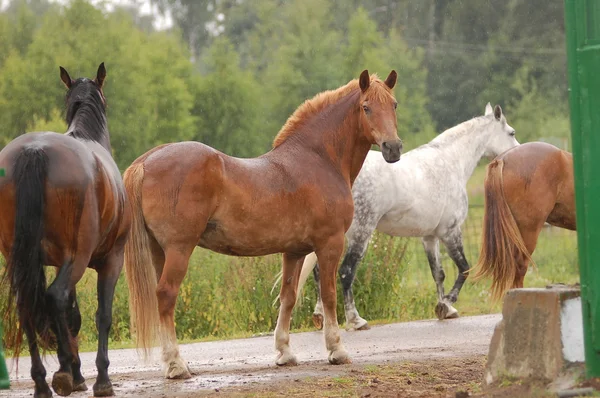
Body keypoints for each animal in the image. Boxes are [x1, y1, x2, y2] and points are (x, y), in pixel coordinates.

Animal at [0, 63, 130, 396]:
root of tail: (34, 151)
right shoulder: (110, 261)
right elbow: (101, 315)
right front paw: (99, 378)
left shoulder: (57, 262)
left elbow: (72, 315)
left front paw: (74, 371)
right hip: (79, 258)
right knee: (55, 297)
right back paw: (64, 376)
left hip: (25, 259)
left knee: (28, 306)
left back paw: (43, 382)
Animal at [123, 70, 400, 378]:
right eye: (366, 107)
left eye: (394, 105)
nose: (393, 148)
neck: (317, 160)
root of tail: (146, 161)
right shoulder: (330, 243)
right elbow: (328, 295)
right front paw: (336, 350)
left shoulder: (294, 251)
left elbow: (288, 297)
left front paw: (284, 352)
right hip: (179, 249)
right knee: (166, 295)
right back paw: (176, 365)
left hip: (158, 251)